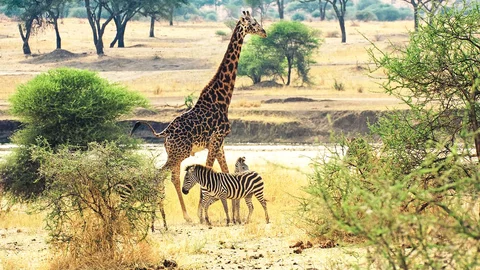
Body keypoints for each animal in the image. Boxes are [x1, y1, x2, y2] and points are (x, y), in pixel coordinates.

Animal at [131, 10, 266, 223]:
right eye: (253, 23)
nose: (264, 32)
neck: (222, 99)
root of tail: (165, 132)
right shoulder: (216, 140)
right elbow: (209, 173)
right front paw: (204, 216)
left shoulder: (220, 142)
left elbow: (226, 173)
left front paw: (234, 216)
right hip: (180, 152)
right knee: (160, 175)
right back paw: (169, 215)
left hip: (174, 153)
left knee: (173, 177)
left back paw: (185, 216)